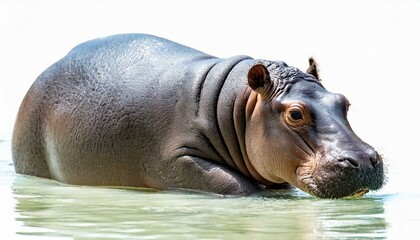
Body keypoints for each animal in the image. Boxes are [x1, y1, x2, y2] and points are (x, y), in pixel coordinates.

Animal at [11, 33, 384, 199]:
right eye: (295, 114)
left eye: (344, 102)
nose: (364, 160)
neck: (237, 106)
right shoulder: (177, 158)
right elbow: (236, 184)